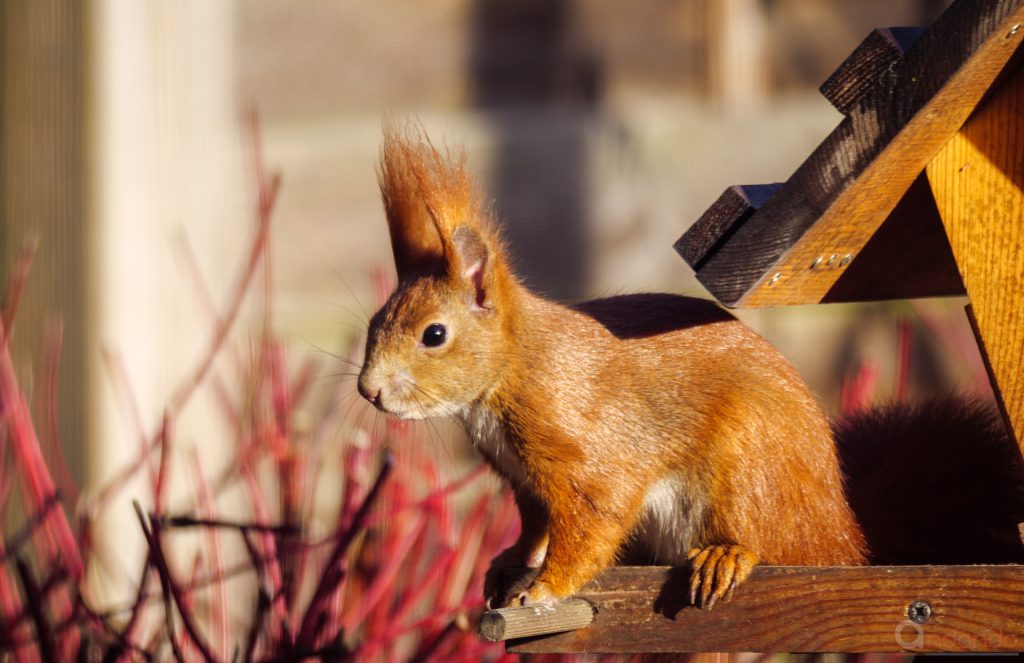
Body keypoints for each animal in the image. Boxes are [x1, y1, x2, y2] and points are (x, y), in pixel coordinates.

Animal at [356, 127, 1019, 610]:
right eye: (373, 322)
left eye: (434, 335)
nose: (368, 391)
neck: (509, 375)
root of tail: (843, 531)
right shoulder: (527, 484)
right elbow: (536, 528)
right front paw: (509, 563)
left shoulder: (586, 450)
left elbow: (592, 523)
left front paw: (545, 587)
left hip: (750, 466)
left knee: (774, 542)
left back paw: (729, 556)